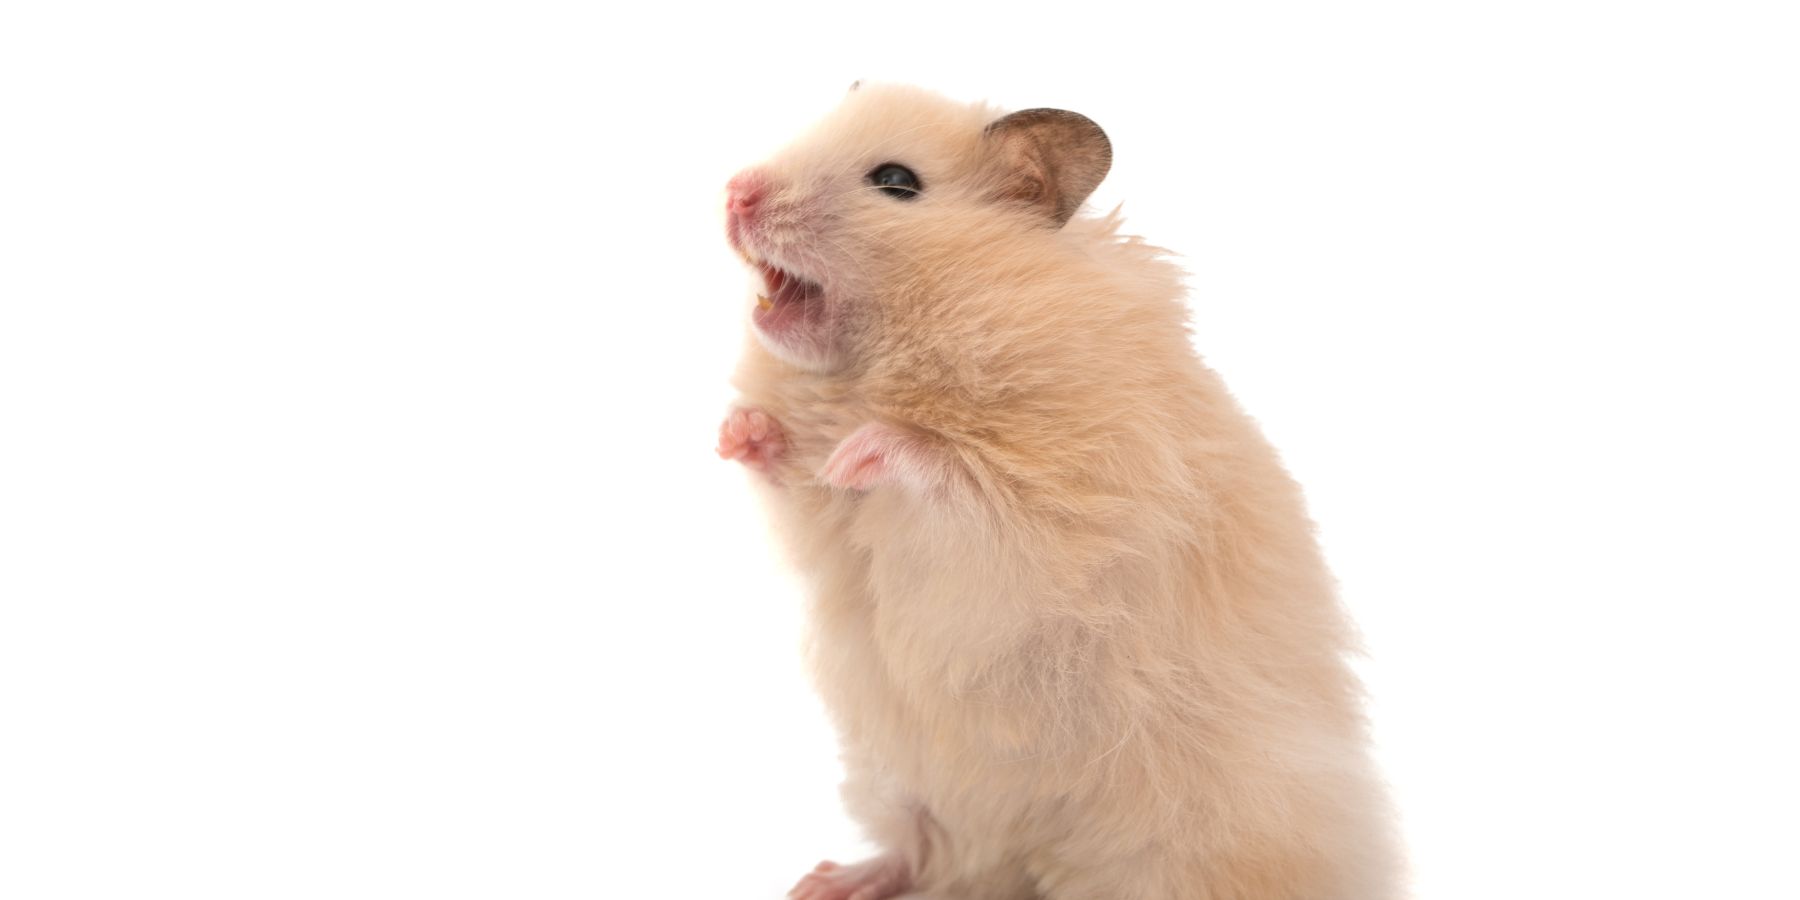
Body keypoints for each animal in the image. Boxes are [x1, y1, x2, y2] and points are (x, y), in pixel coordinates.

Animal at [716, 83, 1400, 900]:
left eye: (895, 182)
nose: (734, 192)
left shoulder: (1062, 504)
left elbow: (953, 474)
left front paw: (862, 451)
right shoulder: (823, 521)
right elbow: (794, 478)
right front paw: (735, 432)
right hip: (901, 776)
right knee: (929, 852)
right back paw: (828, 882)